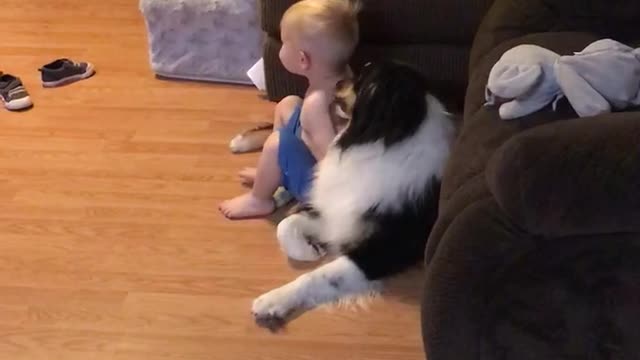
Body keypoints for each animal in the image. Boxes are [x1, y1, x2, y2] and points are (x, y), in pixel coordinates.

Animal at [250, 60, 456, 330]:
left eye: (363, 79)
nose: (337, 82)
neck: (382, 141)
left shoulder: (379, 251)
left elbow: (318, 276)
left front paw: (274, 300)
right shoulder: (338, 213)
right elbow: (286, 224)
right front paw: (310, 251)